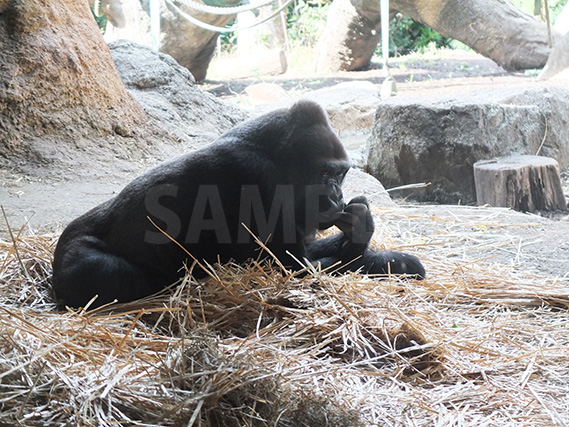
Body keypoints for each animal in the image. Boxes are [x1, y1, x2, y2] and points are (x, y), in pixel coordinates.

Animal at [53, 101, 424, 308]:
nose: (337, 198)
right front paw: (378, 257)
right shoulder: (257, 177)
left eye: (340, 175)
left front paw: (365, 236)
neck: (277, 156)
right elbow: (298, 269)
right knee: (106, 271)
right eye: (324, 174)